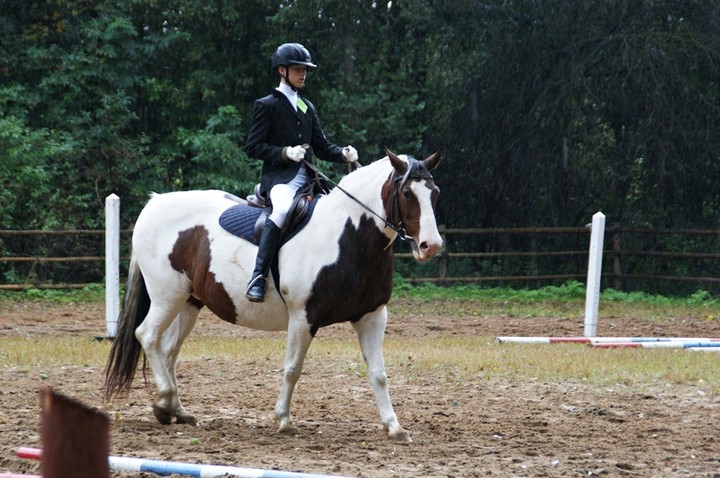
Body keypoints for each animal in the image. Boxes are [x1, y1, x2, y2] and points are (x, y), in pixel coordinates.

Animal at [103, 148, 442, 440]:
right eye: (407, 193)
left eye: (434, 193)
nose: (431, 246)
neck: (348, 237)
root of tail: (155, 203)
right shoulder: (303, 318)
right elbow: (292, 369)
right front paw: (284, 420)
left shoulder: (372, 316)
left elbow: (378, 373)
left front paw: (394, 427)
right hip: (166, 297)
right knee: (147, 336)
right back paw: (165, 401)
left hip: (189, 302)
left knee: (168, 350)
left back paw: (177, 410)